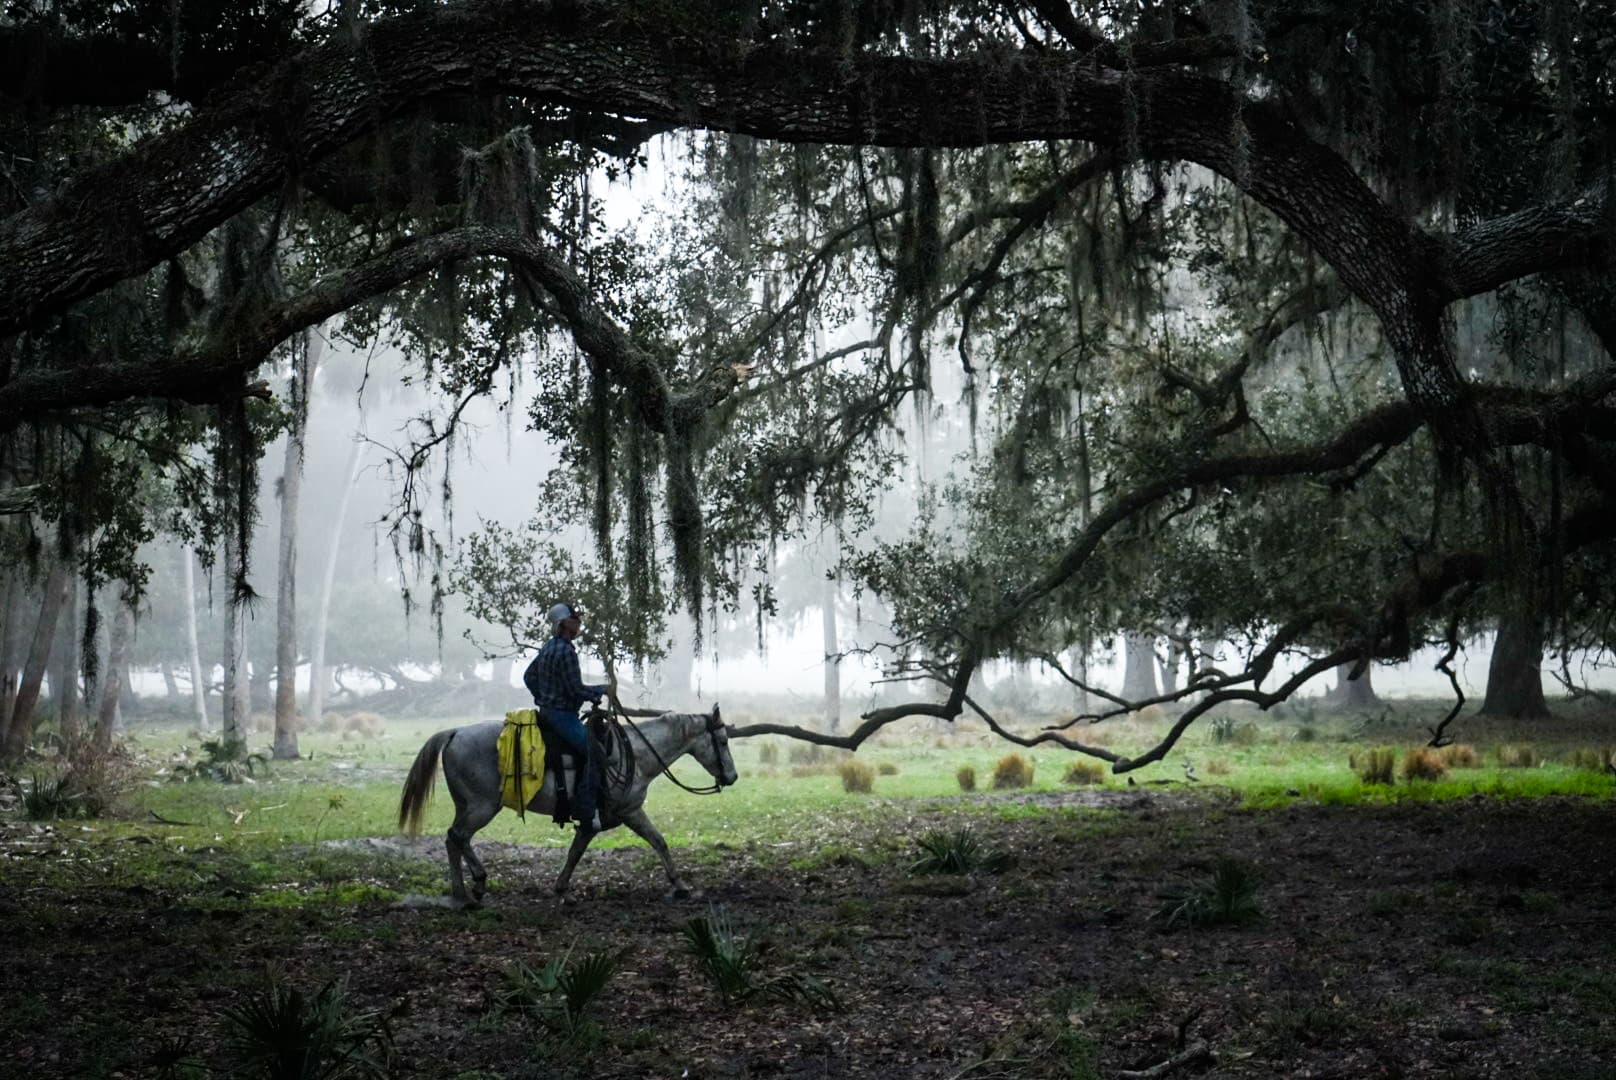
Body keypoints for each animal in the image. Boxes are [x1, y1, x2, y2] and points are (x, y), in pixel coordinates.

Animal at [397, 704, 740, 905]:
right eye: (723, 741)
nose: (732, 776)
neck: (634, 754)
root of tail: (455, 732)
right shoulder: (616, 815)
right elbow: (646, 843)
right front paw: (680, 885)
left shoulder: (620, 815)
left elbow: (655, 842)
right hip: (482, 807)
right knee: (457, 837)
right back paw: (475, 886)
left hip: (467, 806)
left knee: (454, 840)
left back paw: (463, 890)